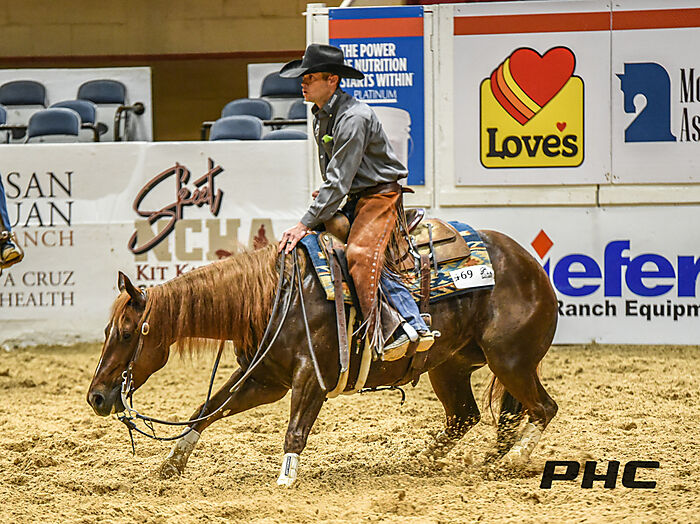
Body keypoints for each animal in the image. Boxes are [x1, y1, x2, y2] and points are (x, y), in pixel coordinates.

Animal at [87, 229, 558, 486]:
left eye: (126, 333)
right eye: (107, 332)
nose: (96, 397)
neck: (277, 297)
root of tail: (530, 265)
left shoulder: (312, 379)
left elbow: (295, 432)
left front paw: (284, 480)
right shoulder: (264, 380)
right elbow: (207, 409)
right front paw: (172, 464)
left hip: (511, 361)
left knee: (543, 408)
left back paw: (512, 460)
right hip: (451, 366)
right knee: (465, 416)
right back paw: (423, 461)